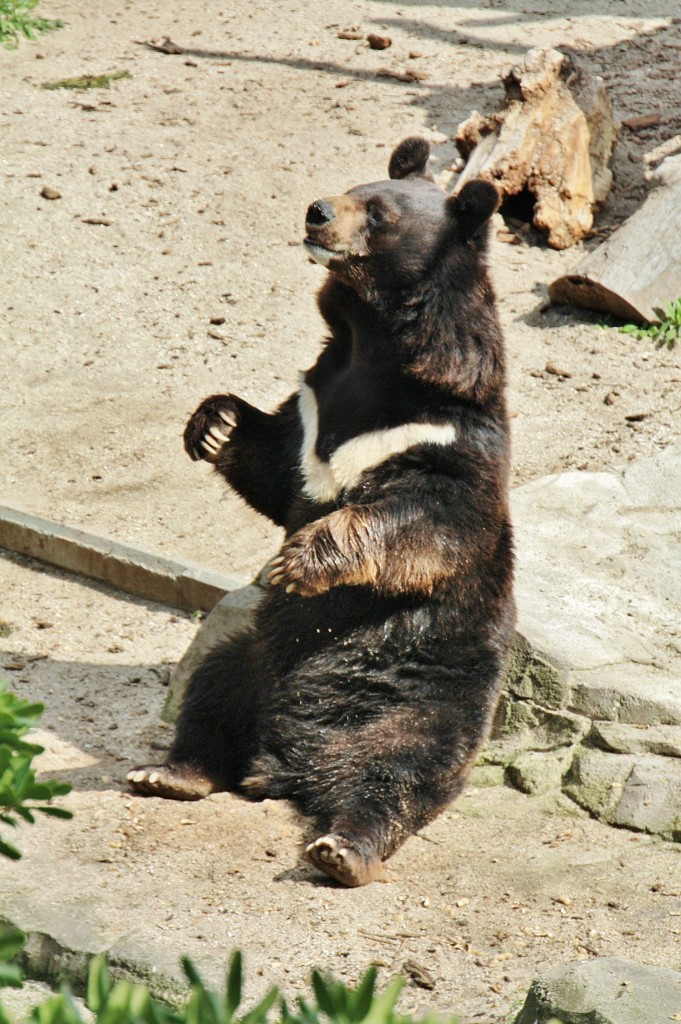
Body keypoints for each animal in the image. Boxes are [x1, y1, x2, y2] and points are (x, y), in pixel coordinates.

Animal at [127, 138, 512, 888]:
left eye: (380, 212)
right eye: (352, 187)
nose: (317, 212)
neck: (375, 347)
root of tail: (285, 763)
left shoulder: (442, 438)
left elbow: (424, 519)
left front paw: (299, 560)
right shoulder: (313, 409)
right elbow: (272, 463)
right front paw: (211, 423)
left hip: (425, 696)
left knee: (398, 773)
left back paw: (342, 848)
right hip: (253, 659)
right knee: (209, 699)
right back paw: (171, 772)